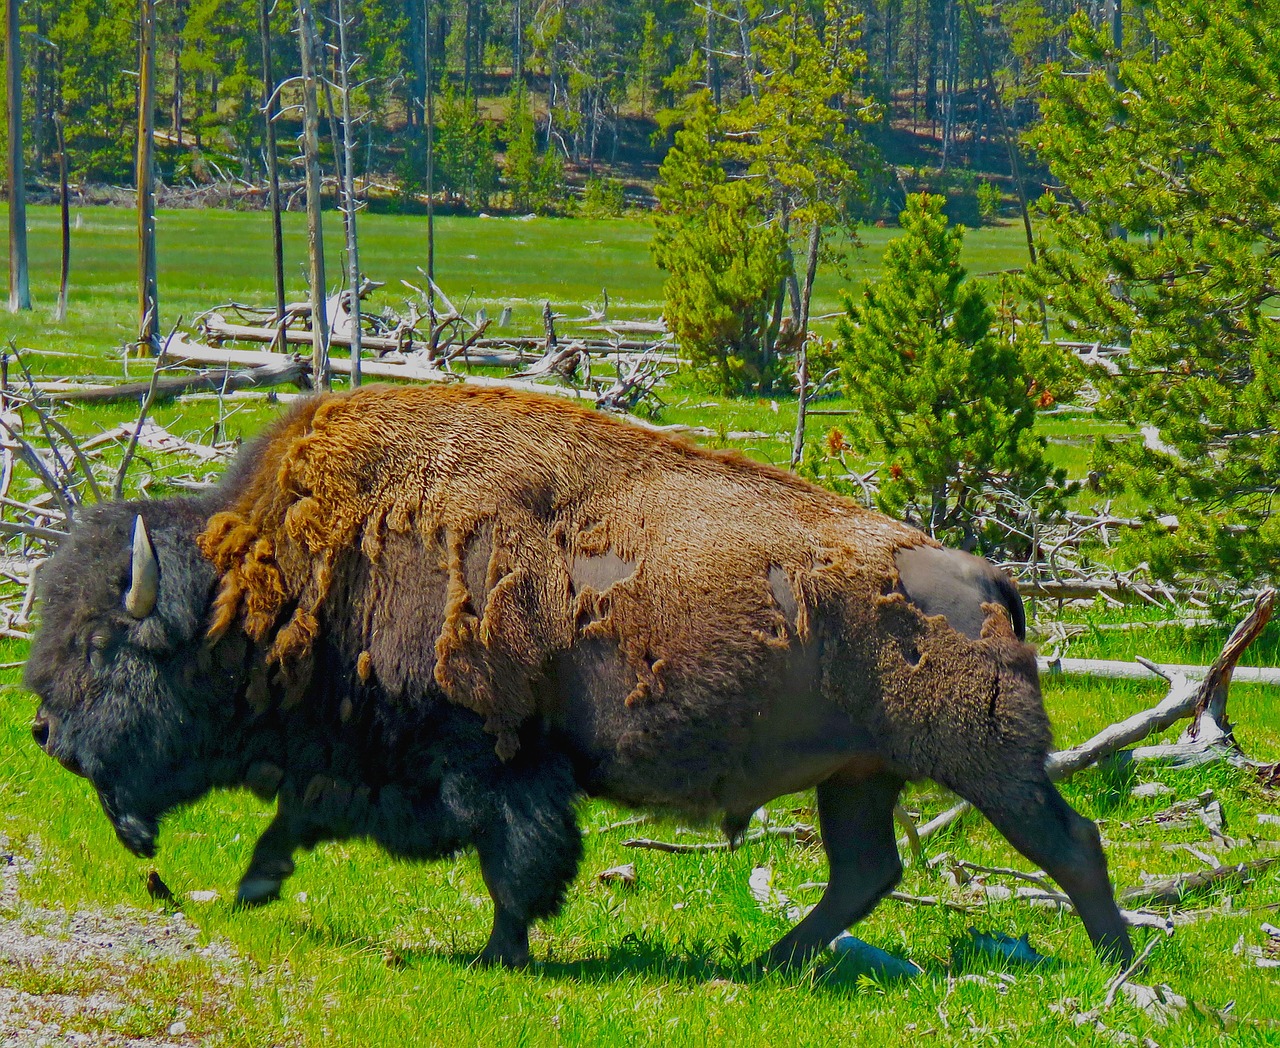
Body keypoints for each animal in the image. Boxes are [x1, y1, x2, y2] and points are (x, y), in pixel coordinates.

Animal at [26, 385, 1132, 969]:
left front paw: (499, 956)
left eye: (105, 647)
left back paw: (1120, 964)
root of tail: (982, 574)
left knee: (1070, 843)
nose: (44, 735)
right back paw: (768, 967)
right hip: (856, 777)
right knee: (867, 872)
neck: (285, 581)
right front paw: (257, 885)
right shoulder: (376, 763)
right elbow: (302, 817)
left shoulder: (498, 760)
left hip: (987, 766)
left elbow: (515, 863)